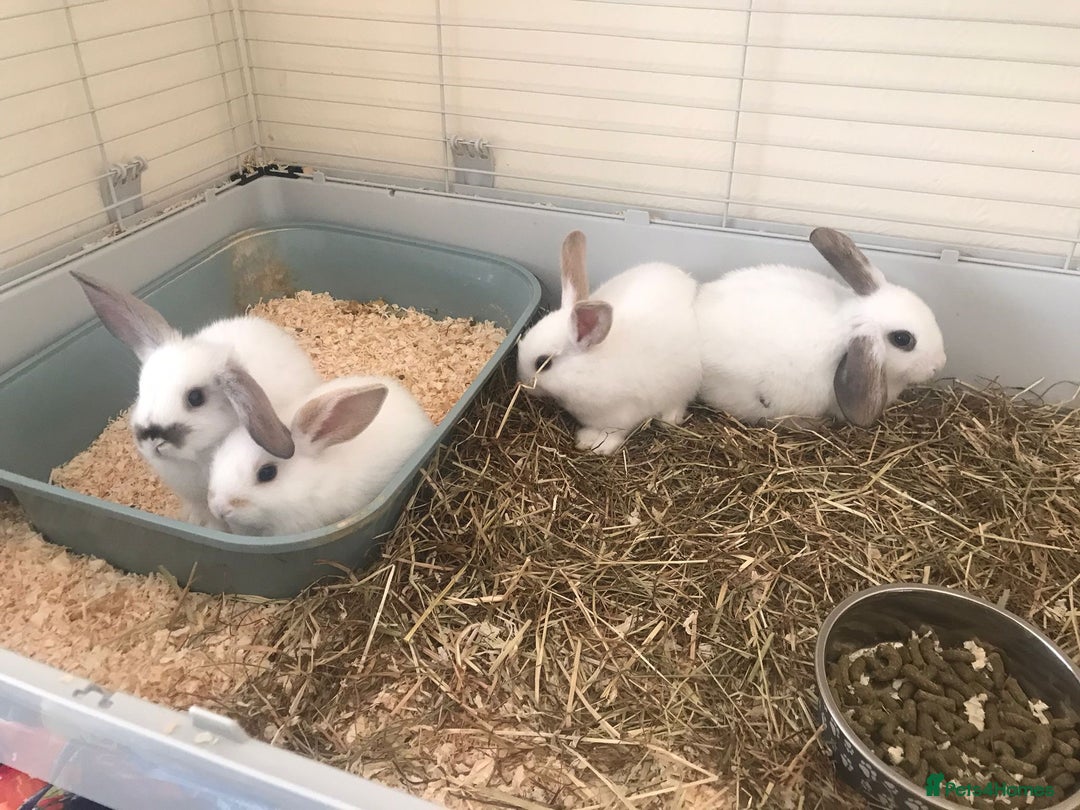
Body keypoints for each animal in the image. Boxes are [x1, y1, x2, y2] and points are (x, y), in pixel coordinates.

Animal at [515, 229, 702, 455]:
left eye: (543, 363)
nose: (523, 384)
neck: (588, 368)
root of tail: (689, 281)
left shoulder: (622, 414)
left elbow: (613, 434)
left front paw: (599, 446)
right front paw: (585, 439)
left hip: (686, 381)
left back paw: (669, 418)